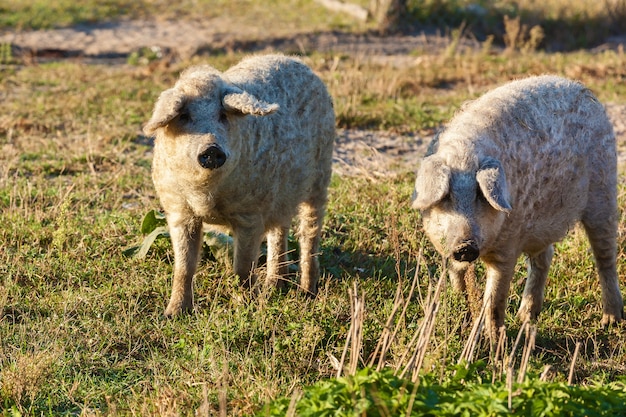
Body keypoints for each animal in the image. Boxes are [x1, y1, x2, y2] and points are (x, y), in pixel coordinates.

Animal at [143, 54, 334, 316]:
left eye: (223, 116)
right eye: (184, 116)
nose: (212, 150)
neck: (206, 195)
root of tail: (297, 62)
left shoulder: (250, 214)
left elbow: (242, 267)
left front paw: (246, 307)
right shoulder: (179, 211)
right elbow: (184, 266)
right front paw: (173, 314)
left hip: (320, 178)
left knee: (309, 234)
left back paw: (306, 292)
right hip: (280, 195)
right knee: (279, 230)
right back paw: (274, 287)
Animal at [412, 74, 620, 334]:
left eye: (480, 195)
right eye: (447, 197)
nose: (466, 246)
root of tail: (584, 90)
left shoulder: (507, 249)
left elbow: (494, 301)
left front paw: (495, 342)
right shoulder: (447, 250)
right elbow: (458, 280)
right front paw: (461, 319)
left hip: (604, 191)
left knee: (605, 256)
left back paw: (610, 321)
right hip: (541, 225)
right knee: (544, 258)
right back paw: (526, 317)